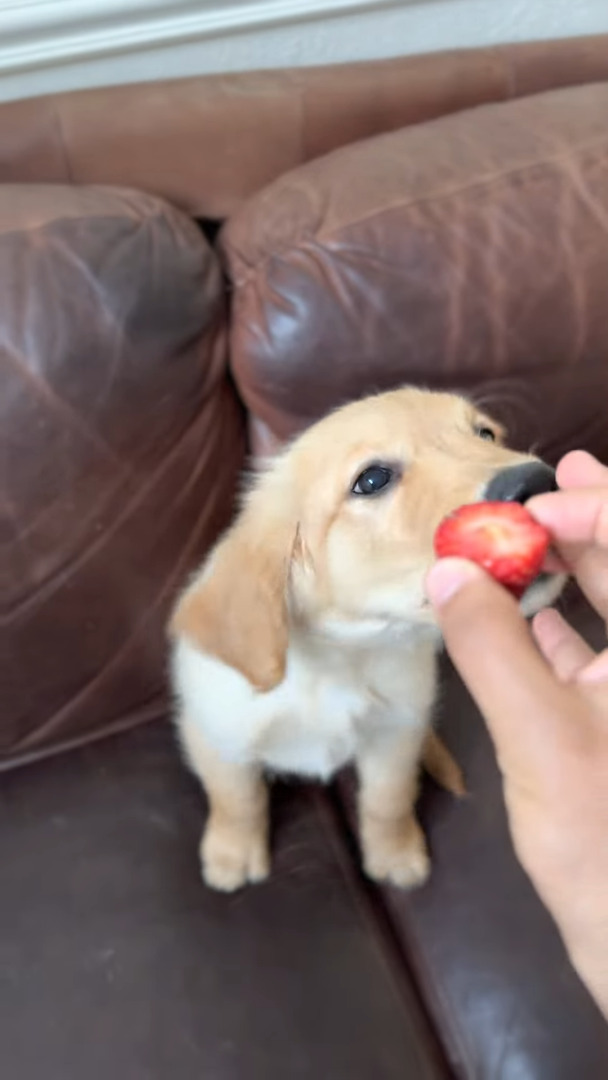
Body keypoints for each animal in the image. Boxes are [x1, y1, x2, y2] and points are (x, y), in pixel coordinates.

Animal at [167, 388, 565, 894]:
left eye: (485, 434)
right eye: (372, 479)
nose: (541, 481)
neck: (344, 658)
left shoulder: (395, 734)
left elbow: (387, 801)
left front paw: (394, 854)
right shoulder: (216, 737)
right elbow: (237, 799)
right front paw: (231, 854)